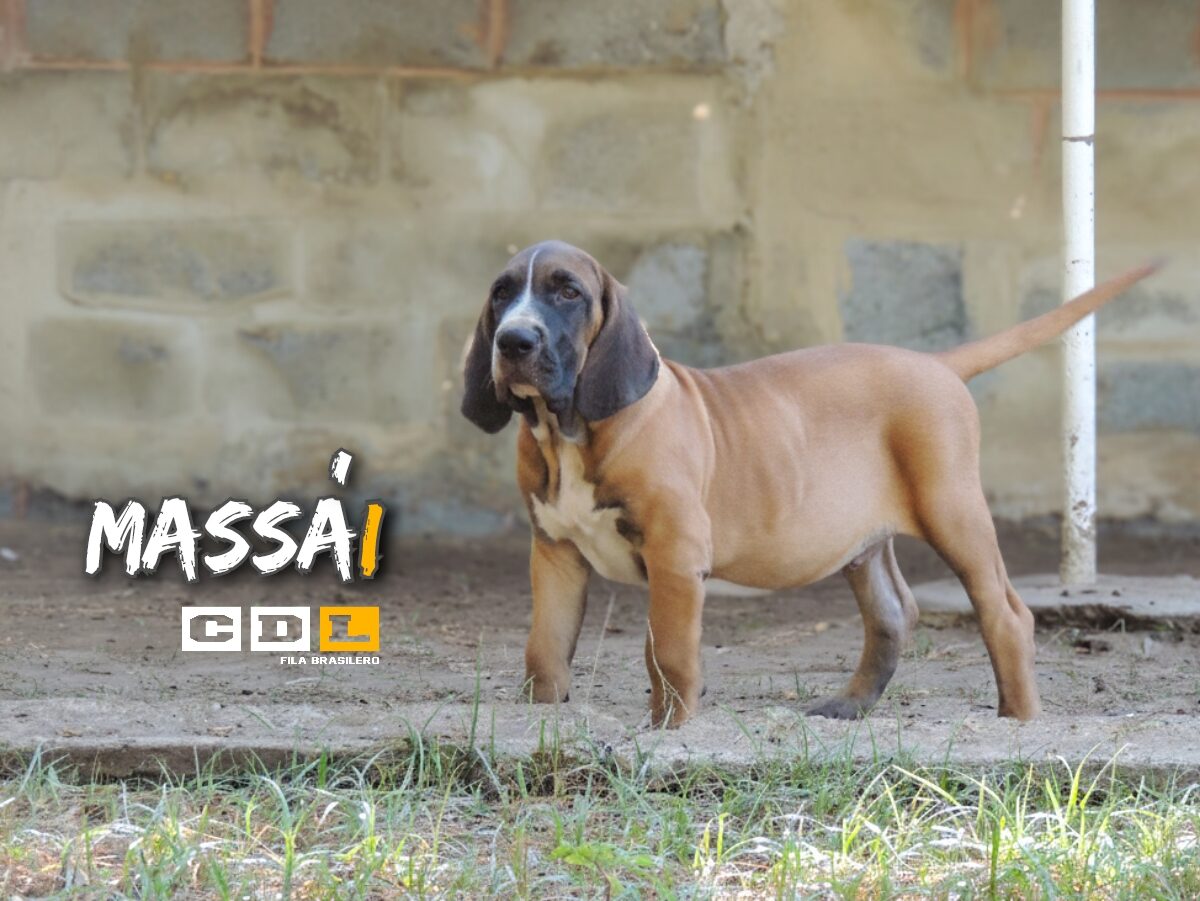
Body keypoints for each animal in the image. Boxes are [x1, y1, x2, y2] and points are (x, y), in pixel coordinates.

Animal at [461, 240, 1158, 727]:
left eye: (568, 292)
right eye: (499, 293)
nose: (513, 341)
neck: (568, 430)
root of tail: (934, 364)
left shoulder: (675, 556)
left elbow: (669, 652)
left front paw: (669, 728)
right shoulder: (555, 555)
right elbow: (545, 649)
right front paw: (542, 719)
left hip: (954, 512)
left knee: (1005, 613)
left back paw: (1018, 720)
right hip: (864, 544)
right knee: (893, 615)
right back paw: (850, 707)